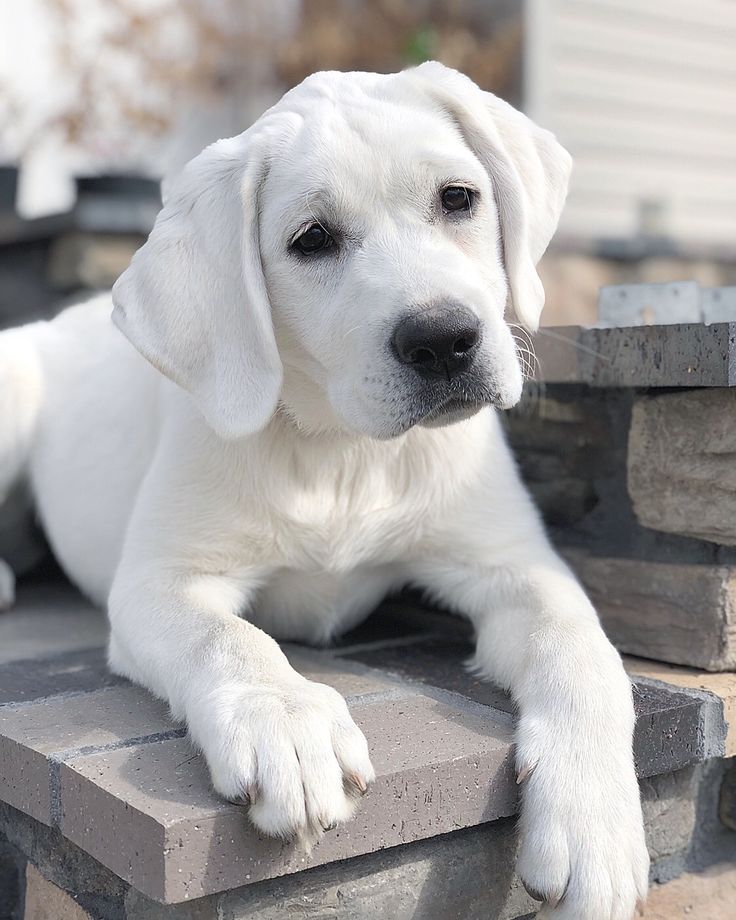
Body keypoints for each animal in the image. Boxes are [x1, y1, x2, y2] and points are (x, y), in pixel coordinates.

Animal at [0, 66, 648, 920]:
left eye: (458, 198)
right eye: (312, 241)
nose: (444, 340)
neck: (344, 452)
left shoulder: (516, 564)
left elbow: (583, 650)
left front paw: (595, 820)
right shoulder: (158, 583)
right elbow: (227, 636)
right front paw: (287, 722)